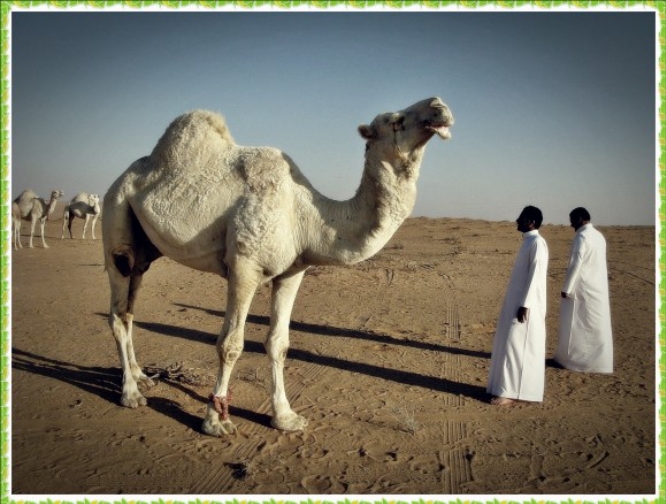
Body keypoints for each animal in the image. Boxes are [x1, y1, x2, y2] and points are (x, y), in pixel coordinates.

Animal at [103, 97, 454, 437]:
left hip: (144, 253)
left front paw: (285, 417)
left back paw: (141, 376)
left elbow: (279, 343)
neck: (305, 216)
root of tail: (119, 178)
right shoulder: (244, 266)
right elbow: (230, 344)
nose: (439, 106)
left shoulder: (293, 272)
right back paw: (131, 393)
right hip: (116, 218)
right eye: (396, 121)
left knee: (130, 308)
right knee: (118, 311)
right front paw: (216, 421)